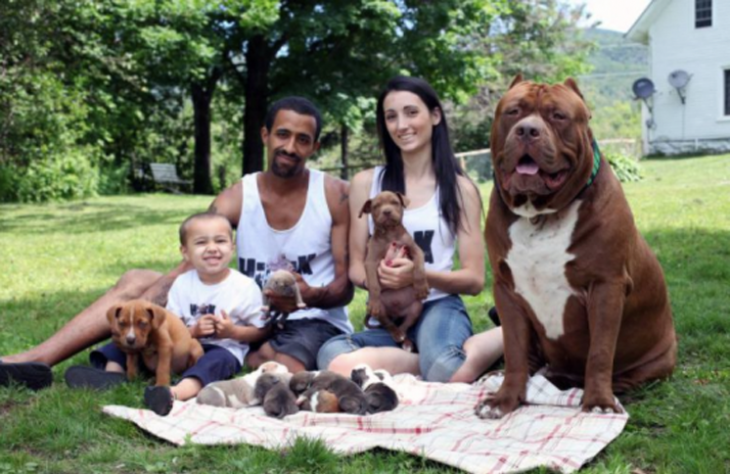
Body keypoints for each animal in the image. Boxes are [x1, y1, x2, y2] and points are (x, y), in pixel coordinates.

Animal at [356, 190, 426, 352]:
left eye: (395, 202)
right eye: (376, 206)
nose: (386, 211)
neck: (390, 234)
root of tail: (396, 314)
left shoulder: (416, 250)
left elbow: (419, 268)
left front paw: (421, 287)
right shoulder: (370, 261)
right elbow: (374, 284)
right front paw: (374, 299)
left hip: (416, 307)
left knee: (405, 326)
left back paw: (406, 342)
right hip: (382, 311)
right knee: (389, 324)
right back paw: (397, 334)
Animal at [474, 75, 672, 418]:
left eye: (558, 116)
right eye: (513, 111)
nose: (527, 130)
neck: (539, 215)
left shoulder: (606, 287)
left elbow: (600, 351)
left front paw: (599, 402)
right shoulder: (505, 290)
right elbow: (513, 349)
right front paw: (504, 400)